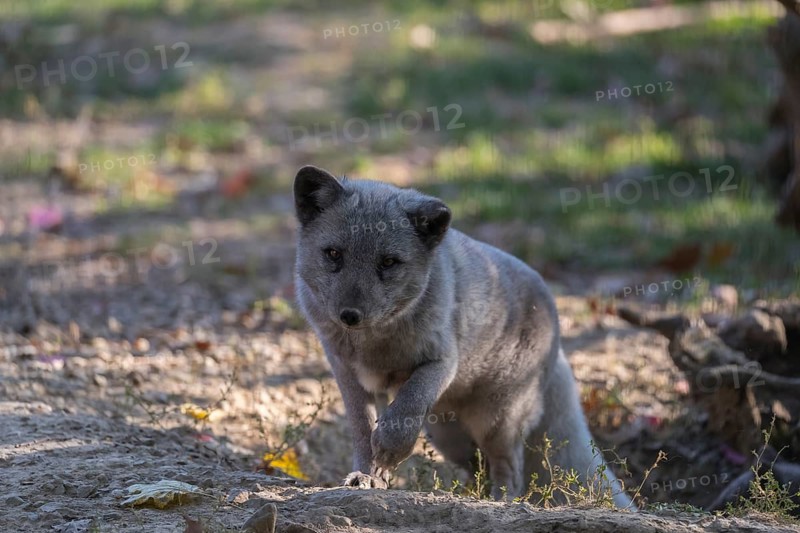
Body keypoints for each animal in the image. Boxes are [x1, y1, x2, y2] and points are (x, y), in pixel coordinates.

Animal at [293, 165, 634, 508]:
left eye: (388, 262)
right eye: (333, 254)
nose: (349, 315)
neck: (374, 346)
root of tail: (558, 333)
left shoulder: (442, 362)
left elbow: (405, 412)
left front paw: (388, 453)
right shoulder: (347, 372)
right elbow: (363, 430)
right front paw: (366, 477)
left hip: (496, 422)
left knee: (512, 471)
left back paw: (500, 502)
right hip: (450, 438)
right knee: (480, 469)